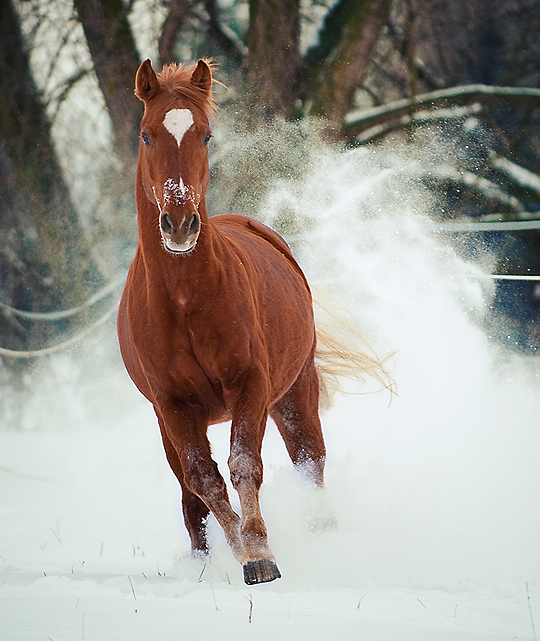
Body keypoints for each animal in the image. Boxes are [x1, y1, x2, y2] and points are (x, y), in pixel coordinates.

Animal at [117, 60, 326, 584]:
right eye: (147, 135)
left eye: (206, 135)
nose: (179, 224)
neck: (185, 298)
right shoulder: (173, 406)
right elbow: (203, 479)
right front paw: (243, 551)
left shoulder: (250, 383)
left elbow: (244, 464)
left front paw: (260, 553)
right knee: (190, 498)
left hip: (296, 392)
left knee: (311, 463)